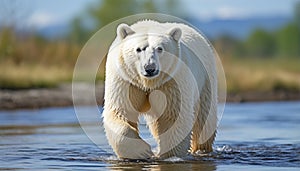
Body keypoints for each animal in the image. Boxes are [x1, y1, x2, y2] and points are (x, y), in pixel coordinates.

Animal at [102, 20, 217, 160]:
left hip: (206, 80)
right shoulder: (125, 80)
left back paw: (201, 149)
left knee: (205, 122)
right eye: (138, 49)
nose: (150, 68)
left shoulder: (172, 80)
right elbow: (120, 111)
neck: (148, 83)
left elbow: (174, 117)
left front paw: (168, 155)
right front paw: (143, 151)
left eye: (159, 48)